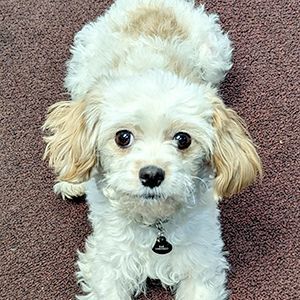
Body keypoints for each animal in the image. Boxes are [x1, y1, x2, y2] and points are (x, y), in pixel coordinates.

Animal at [42, 0, 262, 300]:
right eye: (123, 137)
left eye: (183, 139)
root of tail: (152, 5)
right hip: (80, 69)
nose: (151, 175)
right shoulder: (107, 264)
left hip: (216, 56)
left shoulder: (201, 263)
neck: (155, 225)